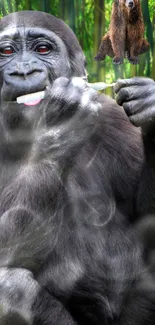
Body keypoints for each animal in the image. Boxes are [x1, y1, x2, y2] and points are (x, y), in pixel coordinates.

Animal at [0, 8, 155, 324]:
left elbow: (144, 214)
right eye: (7, 52)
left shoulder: (113, 116)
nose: (23, 71)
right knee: (11, 289)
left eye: (42, 49)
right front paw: (63, 121)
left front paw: (149, 104)